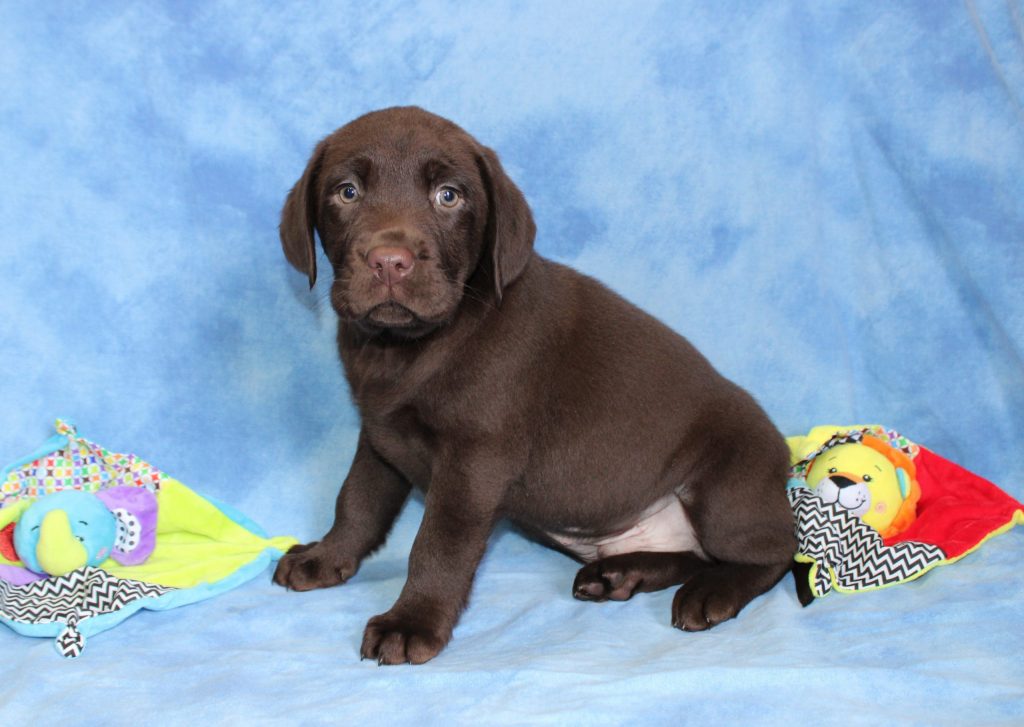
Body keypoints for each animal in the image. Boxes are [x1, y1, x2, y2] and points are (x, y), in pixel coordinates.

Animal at [272, 106, 797, 665]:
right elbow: (357, 501)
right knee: (694, 554)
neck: (403, 349)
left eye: (448, 196)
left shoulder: (473, 461)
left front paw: (412, 621)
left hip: (725, 491)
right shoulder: (378, 432)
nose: (390, 260)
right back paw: (619, 574)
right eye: (347, 192)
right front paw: (326, 557)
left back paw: (712, 592)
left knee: (774, 552)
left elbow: (437, 543)